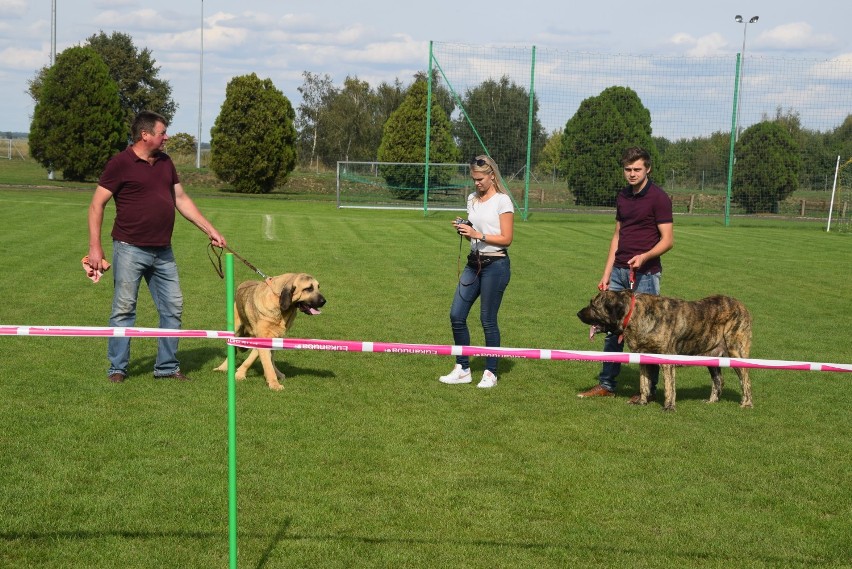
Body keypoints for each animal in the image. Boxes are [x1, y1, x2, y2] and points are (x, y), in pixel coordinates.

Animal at [580, 292, 752, 408]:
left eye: (593, 305)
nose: (578, 313)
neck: (634, 313)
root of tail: (742, 306)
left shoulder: (666, 358)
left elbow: (669, 385)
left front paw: (669, 406)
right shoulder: (643, 357)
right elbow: (644, 382)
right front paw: (642, 401)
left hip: (736, 351)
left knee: (746, 379)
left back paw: (747, 403)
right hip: (712, 356)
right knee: (719, 380)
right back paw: (712, 401)